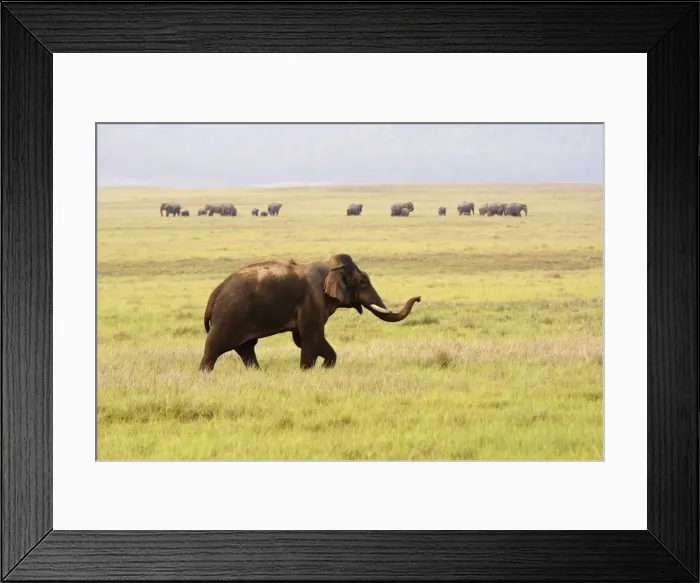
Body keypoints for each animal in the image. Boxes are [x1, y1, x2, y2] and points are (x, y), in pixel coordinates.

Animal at [199, 253, 421, 371]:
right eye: (363, 282)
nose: (418, 298)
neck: (329, 266)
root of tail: (216, 291)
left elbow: (303, 339)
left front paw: (322, 367)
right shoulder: (312, 299)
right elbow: (310, 336)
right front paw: (309, 369)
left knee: (246, 348)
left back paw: (257, 373)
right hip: (229, 315)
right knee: (214, 349)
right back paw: (203, 376)